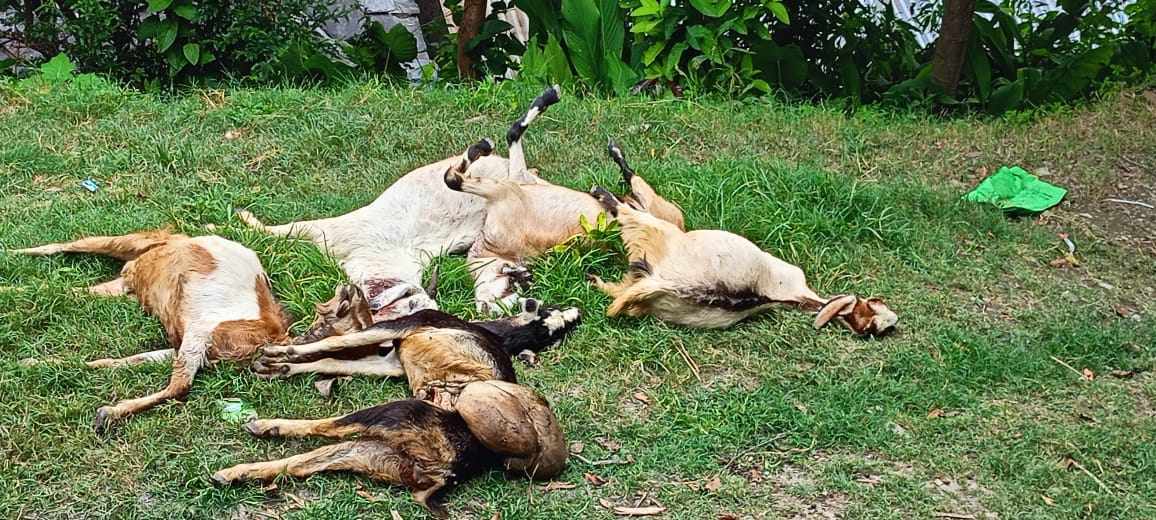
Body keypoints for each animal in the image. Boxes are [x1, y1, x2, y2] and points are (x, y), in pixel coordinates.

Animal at [443, 138, 684, 312]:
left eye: (508, 288)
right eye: (515, 295)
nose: (527, 278)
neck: (492, 247)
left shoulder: (503, 191)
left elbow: (451, 179)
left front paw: (480, 148)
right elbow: (453, 179)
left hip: (660, 208)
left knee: (633, 182)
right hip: (654, 219)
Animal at [582, 144, 897, 335]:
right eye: (876, 306)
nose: (893, 322)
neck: (798, 296)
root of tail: (666, 284)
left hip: (667, 232)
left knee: (634, 209)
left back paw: (606, 185)